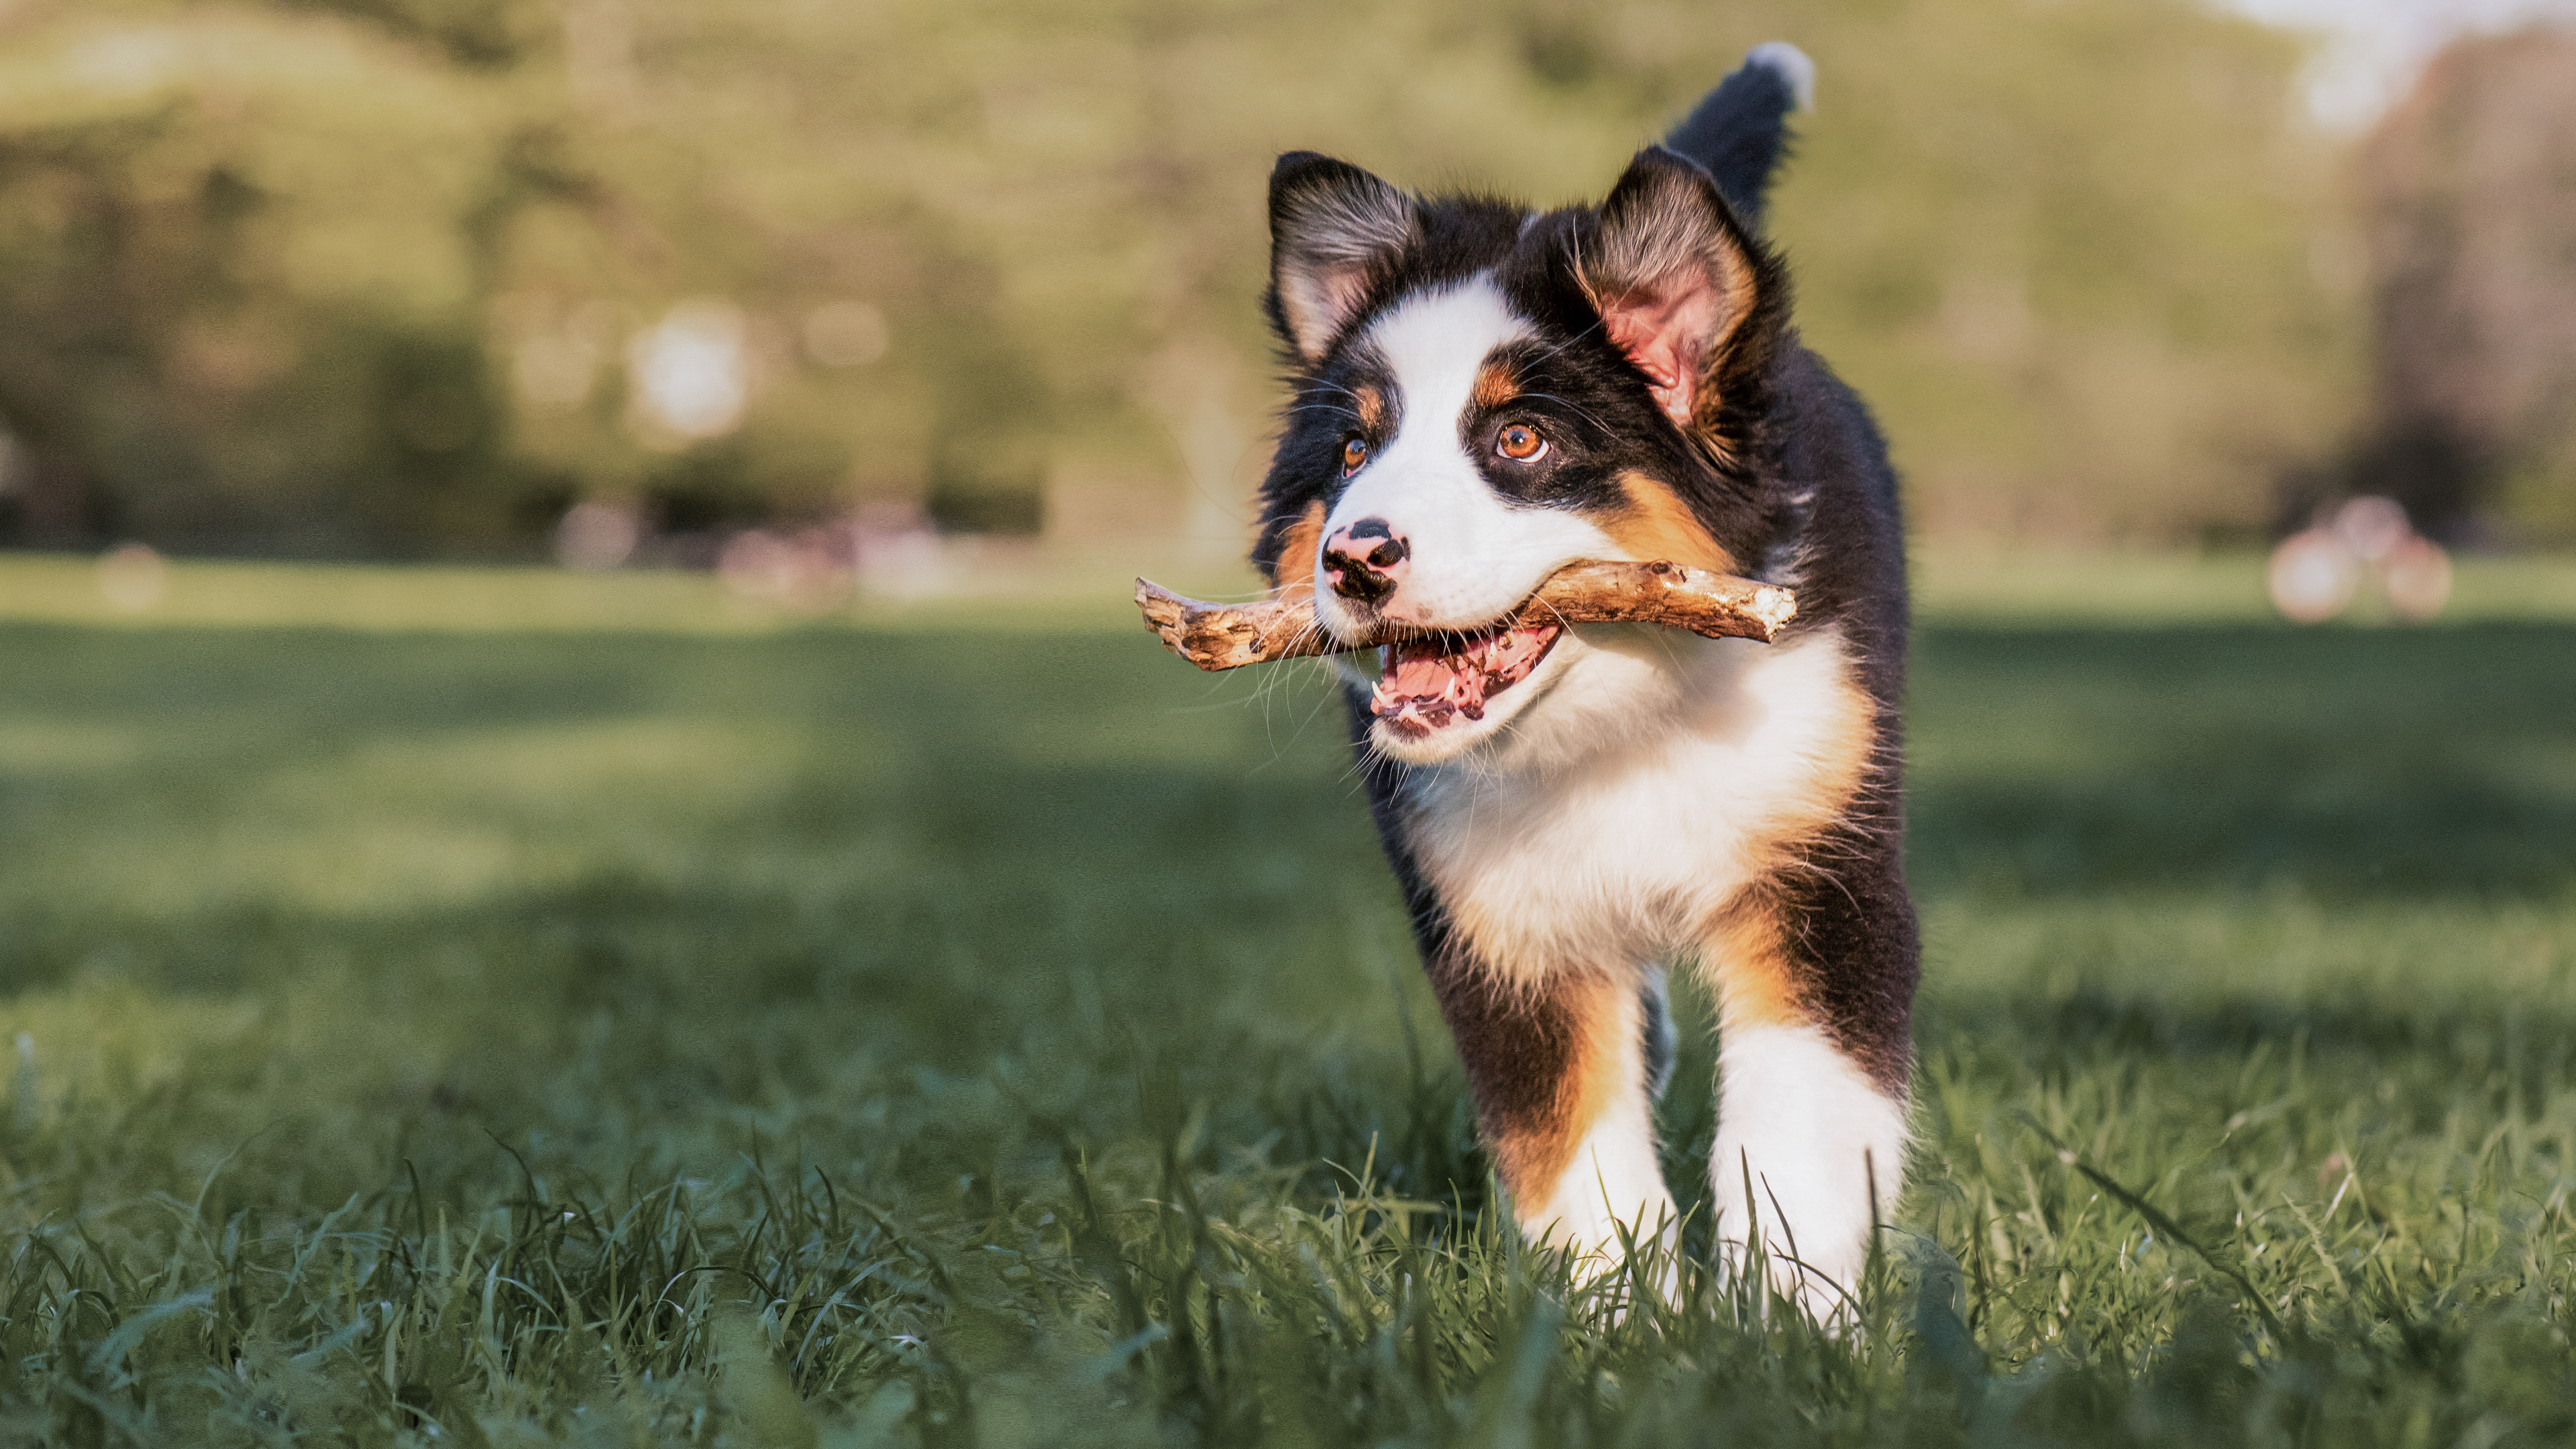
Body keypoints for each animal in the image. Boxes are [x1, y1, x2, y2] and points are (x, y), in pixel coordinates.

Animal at [1246, 45, 1916, 1315]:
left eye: (1521, 442)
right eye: (1355, 451)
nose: (1352, 558)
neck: (1624, 717)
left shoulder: (1817, 864)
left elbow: (1798, 1128)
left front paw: (1790, 1327)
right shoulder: (1497, 914)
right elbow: (1567, 1138)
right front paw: (1620, 1327)